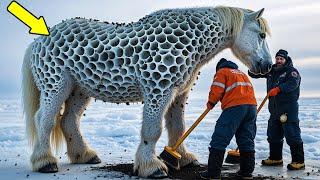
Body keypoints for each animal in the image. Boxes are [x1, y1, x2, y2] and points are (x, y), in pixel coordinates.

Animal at [21, 6, 270, 178]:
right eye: (262, 35)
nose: (266, 66)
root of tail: (37, 42)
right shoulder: (158, 90)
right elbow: (153, 130)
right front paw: (151, 167)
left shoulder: (178, 94)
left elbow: (178, 128)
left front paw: (184, 158)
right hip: (57, 85)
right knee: (44, 120)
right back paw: (45, 162)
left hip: (80, 90)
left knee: (69, 121)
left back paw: (84, 156)